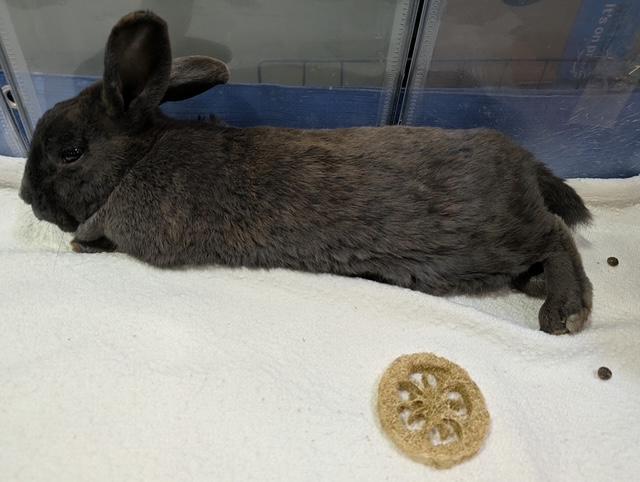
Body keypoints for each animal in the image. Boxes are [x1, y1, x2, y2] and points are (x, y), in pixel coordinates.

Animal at [19, 11, 593, 335]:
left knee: (557, 235)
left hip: (491, 240)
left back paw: (565, 311)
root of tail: (521, 161)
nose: (25, 195)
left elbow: (97, 224)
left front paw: (80, 242)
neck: (138, 157)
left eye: (70, 152)